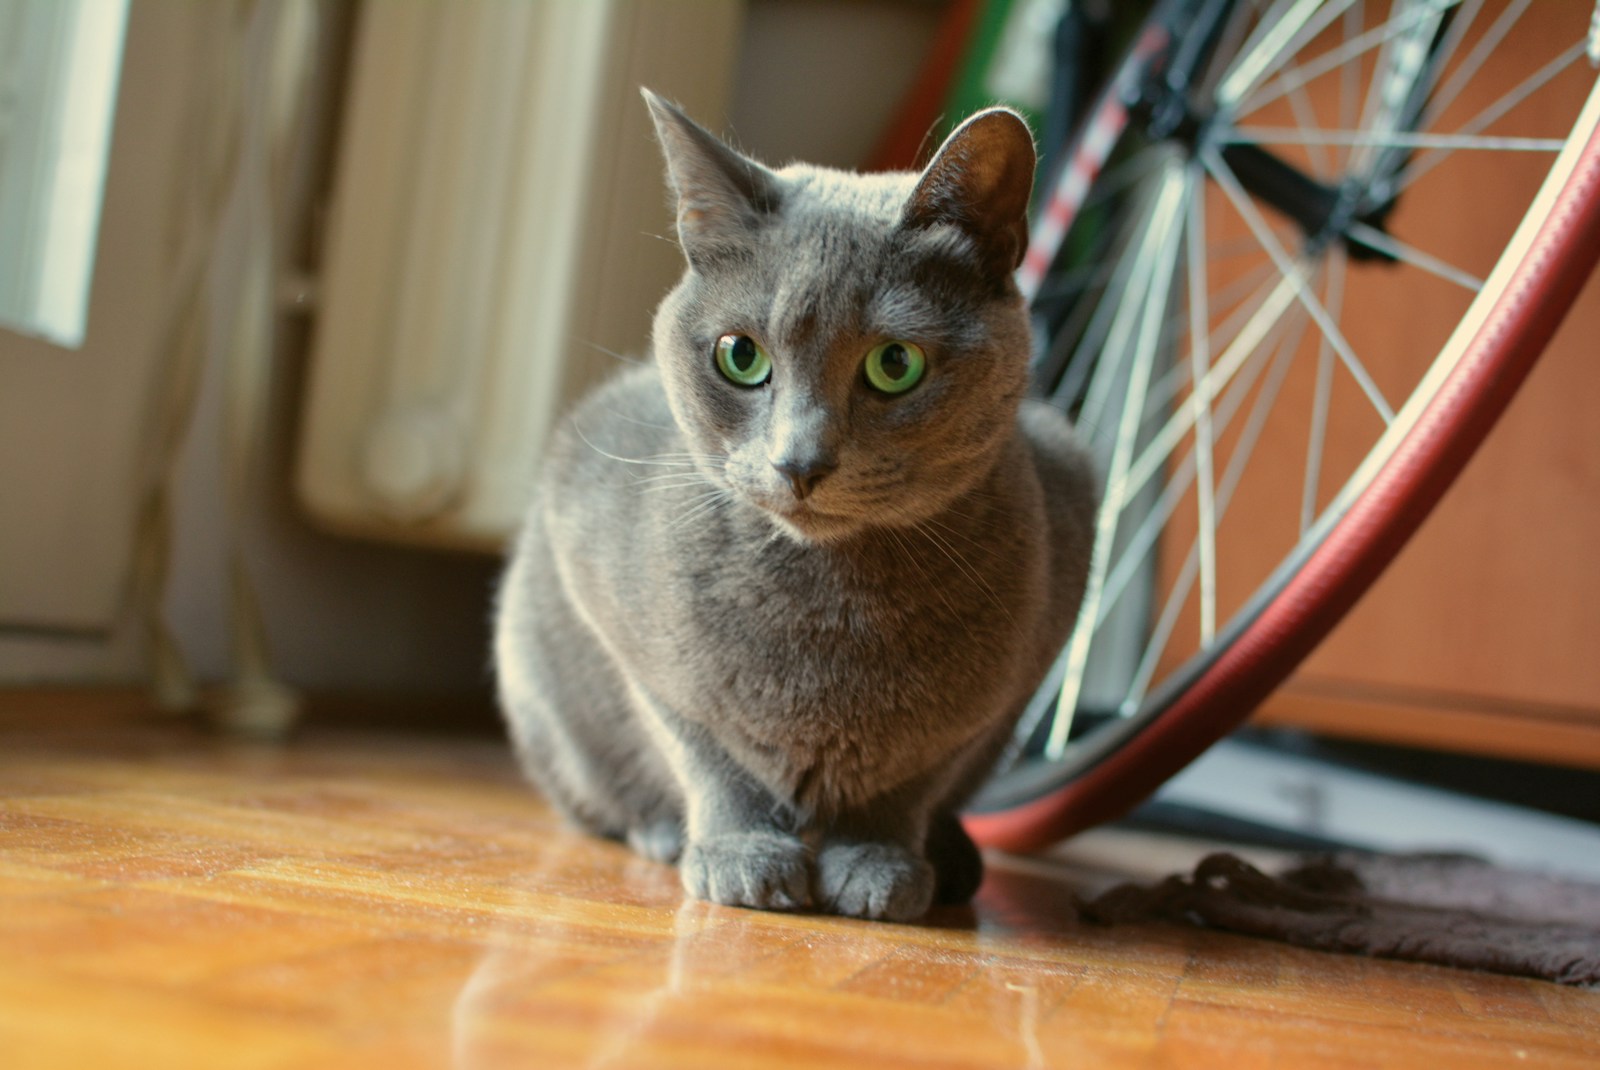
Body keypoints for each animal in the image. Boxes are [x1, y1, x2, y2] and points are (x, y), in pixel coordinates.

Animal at [496, 91, 1100, 921]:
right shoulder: (626, 628)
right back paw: (661, 832)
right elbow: (706, 749)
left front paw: (878, 862)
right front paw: (741, 854)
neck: (831, 604)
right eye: (740, 356)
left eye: (895, 364)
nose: (799, 461)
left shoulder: (995, 688)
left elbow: (912, 780)